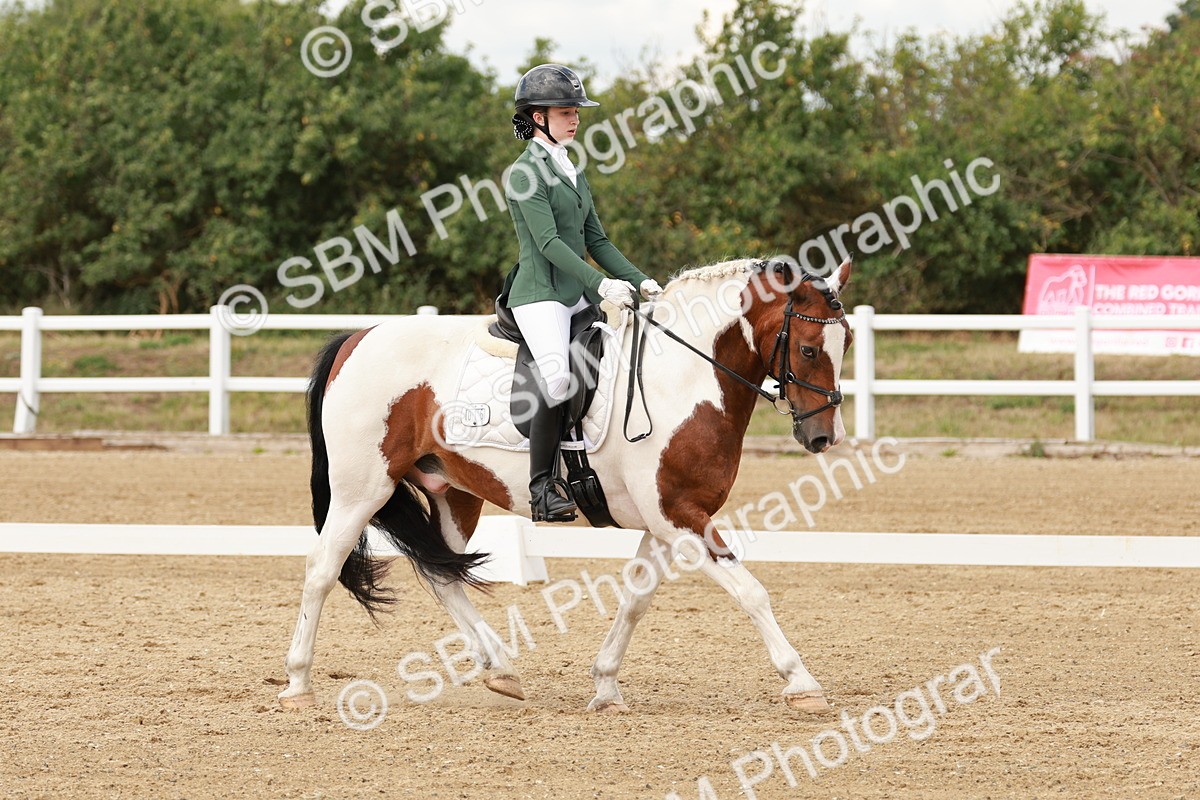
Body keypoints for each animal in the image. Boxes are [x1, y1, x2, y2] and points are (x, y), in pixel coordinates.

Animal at [278, 256, 853, 714]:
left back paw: (501, 670)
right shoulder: (679, 515)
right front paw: (803, 684)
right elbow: (751, 592)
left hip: (454, 492)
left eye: (845, 342)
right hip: (361, 489)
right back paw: (298, 683)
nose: (824, 436)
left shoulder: (666, 521)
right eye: (808, 349)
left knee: (442, 575)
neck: (682, 379)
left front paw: (606, 688)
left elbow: (635, 599)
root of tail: (359, 336)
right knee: (322, 568)